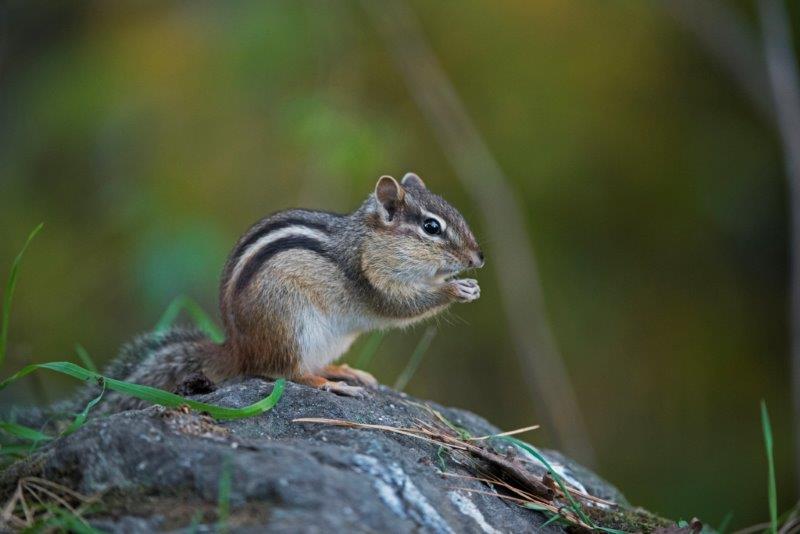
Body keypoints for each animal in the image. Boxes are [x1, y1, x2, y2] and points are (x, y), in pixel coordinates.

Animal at [17, 172, 484, 422]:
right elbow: (397, 307)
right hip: (291, 323)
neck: (367, 240)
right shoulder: (370, 277)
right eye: (431, 227)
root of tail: (237, 349)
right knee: (285, 373)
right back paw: (331, 386)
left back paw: (343, 371)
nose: (478, 258)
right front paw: (454, 288)